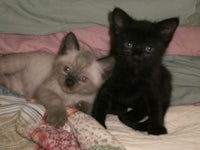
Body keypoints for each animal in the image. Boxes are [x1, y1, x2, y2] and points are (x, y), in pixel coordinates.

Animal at [91, 7, 179, 135]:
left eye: (149, 48)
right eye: (129, 44)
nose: (137, 55)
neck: (134, 73)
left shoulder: (153, 85)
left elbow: (156, 106)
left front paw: (157, 127)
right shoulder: (107, 84)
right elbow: (100, 104)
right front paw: (98, 124)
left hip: (165, 78)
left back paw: (131, 115)